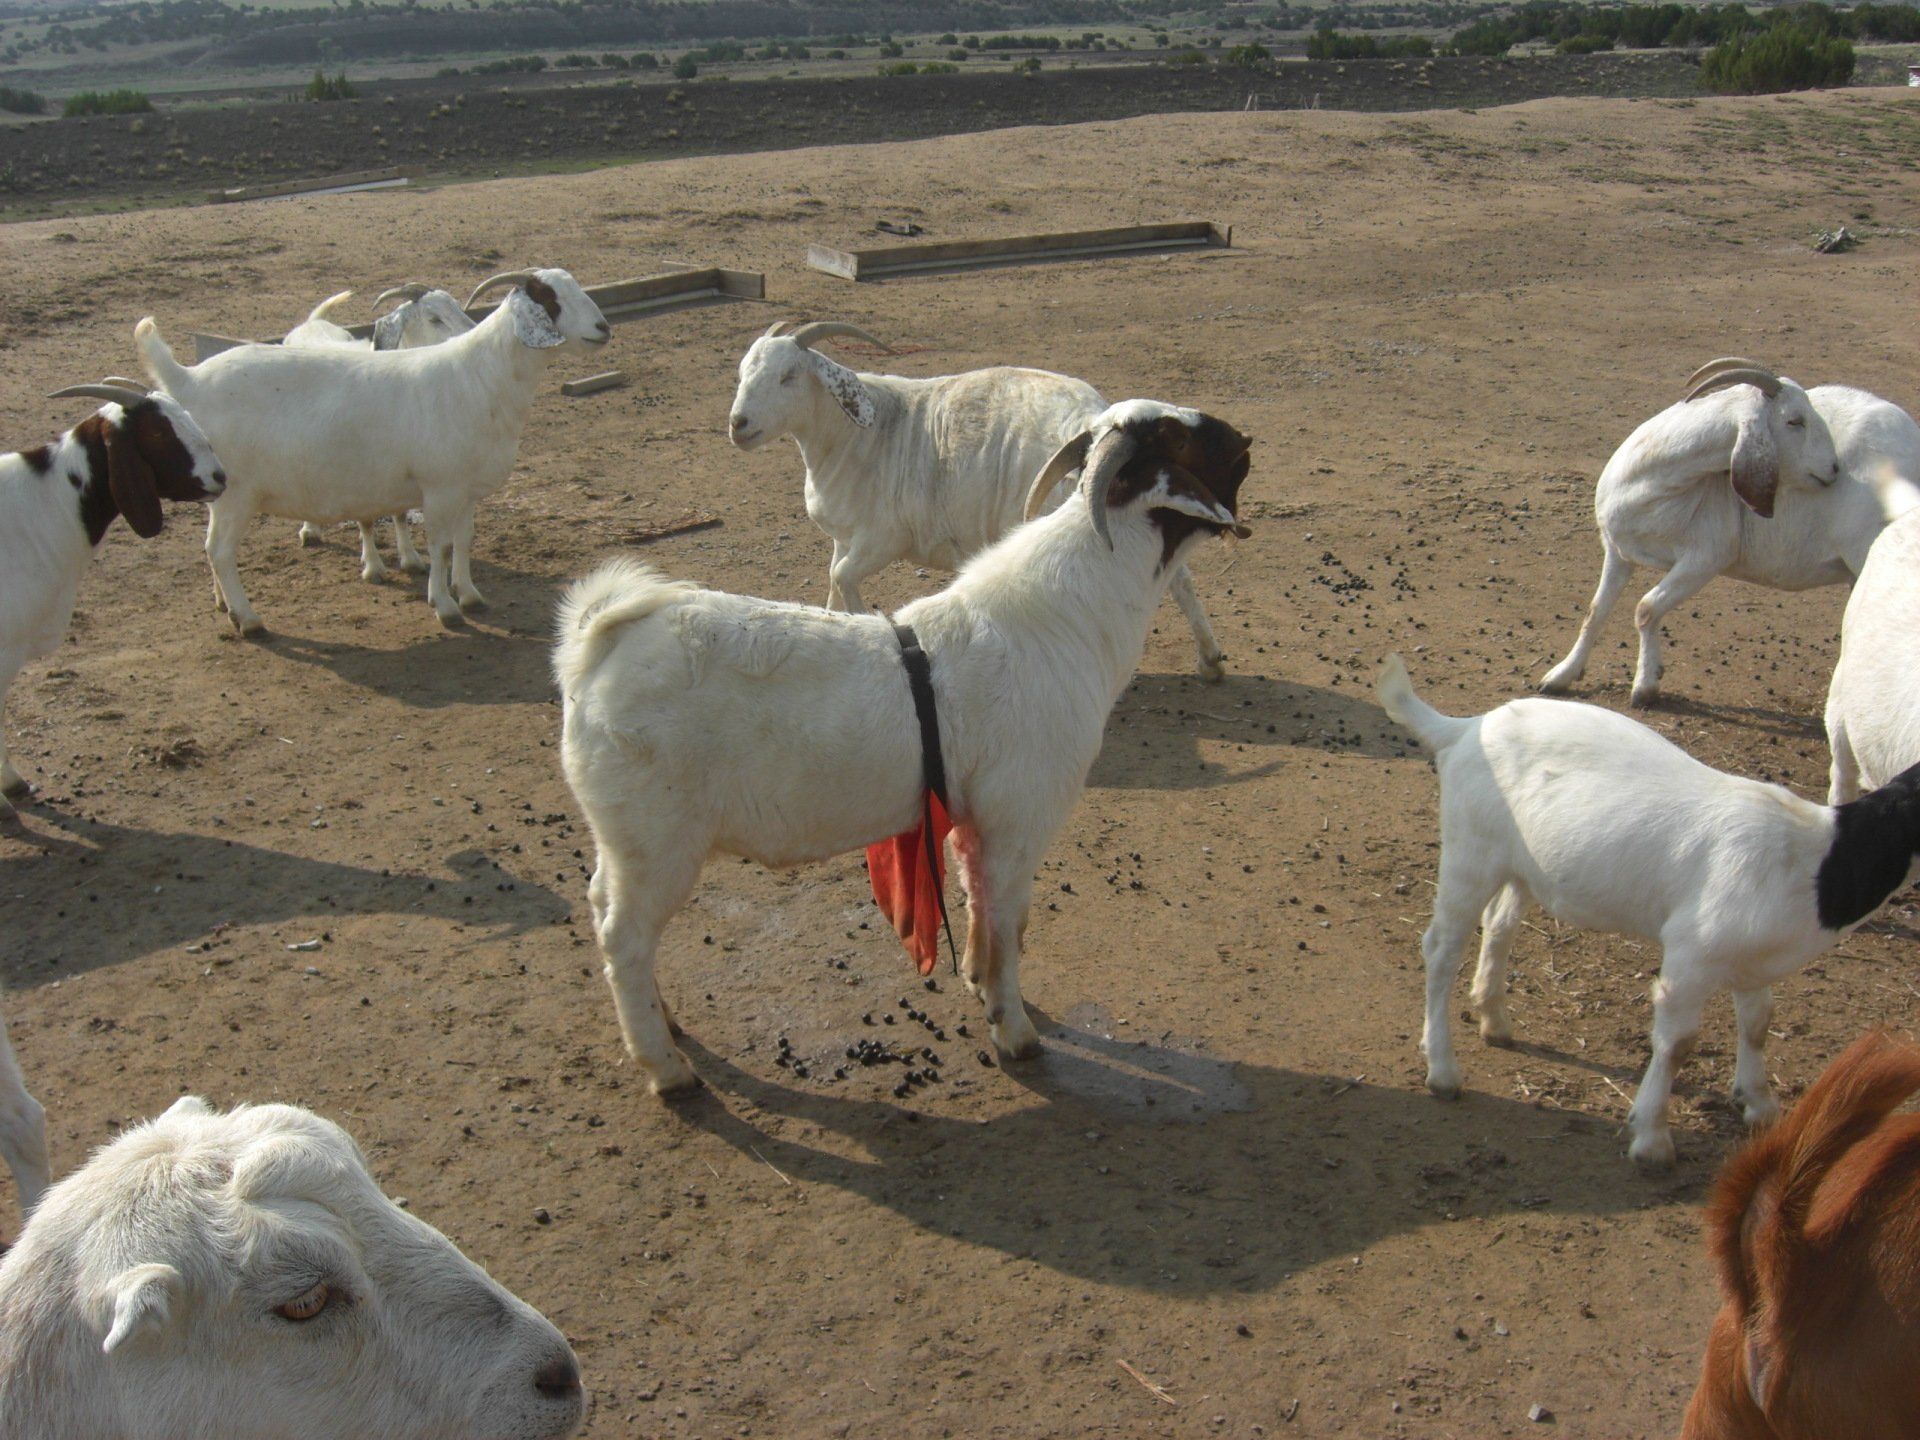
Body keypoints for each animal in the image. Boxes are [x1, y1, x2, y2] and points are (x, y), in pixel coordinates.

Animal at [137, 268, 609, 633]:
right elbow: (440, 545)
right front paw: (445, 606)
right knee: (220, 551)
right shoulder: (439, 486)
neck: (477, 376)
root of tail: (186, 380)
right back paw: (248, 619)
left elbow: (464, 539)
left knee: (209, 547)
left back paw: (224, 605)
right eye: (549, 297)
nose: (604, 328)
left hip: (215, 487)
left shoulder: (466, 488)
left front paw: (470, 594)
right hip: (236, 491)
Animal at [558, 401, 1253, 1094]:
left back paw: (668, 1025)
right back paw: (666, 1066)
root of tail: (599, 643)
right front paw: (1015, 1031)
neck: (1066, 615)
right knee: (624, 940)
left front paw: (976, 982)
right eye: (1180, 438)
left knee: (601, 905)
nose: (1246, 440)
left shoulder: (973, 818)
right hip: (658, 842)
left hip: (624, 839)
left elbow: (982, 906)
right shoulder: (1019, 817)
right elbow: (1008, 920)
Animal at [728, 319, 1233, 680]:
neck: (861, 437)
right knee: (1179, 574)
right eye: (743, 372)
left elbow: (841, 579)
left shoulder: (882, 540)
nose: (738, 424)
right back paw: (1210, 660)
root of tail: (1098, 422)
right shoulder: (844, 538)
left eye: (789, 376)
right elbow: (832, 589)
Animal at [1377, 652, 1920, 1168]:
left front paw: (1760, 1104)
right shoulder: (1692, 954)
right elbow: (1679, 1043)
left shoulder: (1751, 959)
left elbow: (1759, 1022)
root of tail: (1467, 728)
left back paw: (1495, 1020)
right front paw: (1653, 1139)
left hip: (1522, 866)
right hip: (1469, 853)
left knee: (1500, 924)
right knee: (1441, 949)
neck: (1816, 859)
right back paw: (1443, 1070)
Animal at [1541, 358, 1920, 706]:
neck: (1653, 483)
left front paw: (1645, 686)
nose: (1833, 469)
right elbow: (1595, 612)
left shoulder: (1705, 558)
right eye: (1794, 420)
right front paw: (1560, 676)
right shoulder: (1618, 552)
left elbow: (1646, 609)